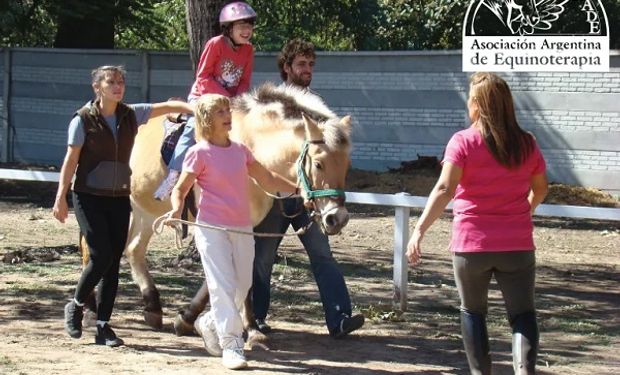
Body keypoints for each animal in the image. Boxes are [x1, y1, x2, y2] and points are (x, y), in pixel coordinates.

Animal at [80, 83, 352, 342]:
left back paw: (152, 308)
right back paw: (91, 311)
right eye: (319, 163)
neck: (250, 147)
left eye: (346, 165)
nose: (337, 218)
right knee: (94, 248)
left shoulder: (247, 227)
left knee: (132, 249)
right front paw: (197, 320)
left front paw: (246, 328)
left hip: (144, 211)